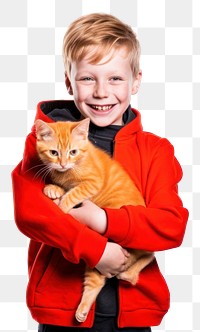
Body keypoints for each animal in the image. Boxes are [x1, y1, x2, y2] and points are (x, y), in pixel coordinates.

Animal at [34, 118, 153, 322]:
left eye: (73, 152)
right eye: (54, 152)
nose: (63, 164)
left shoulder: (92, 183)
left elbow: (74, 193)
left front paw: (62, 207)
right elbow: (64, 187)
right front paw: (53, 188)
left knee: (150, 254)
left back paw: (129, 273)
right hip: (102, 255)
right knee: (97, 280)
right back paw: (83, 310)